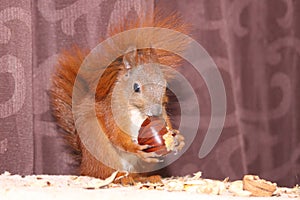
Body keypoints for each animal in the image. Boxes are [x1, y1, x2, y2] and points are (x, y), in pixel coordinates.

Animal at [50, 10, 189, 184]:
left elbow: (167, 122)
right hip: (103, 155)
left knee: (135, 175)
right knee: (106, 173)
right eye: (136, 87)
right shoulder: (111, 110)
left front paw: (178, 139)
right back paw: (121, 179)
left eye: (164, 84)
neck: (137, 110)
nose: (156, 112)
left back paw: (147, 177)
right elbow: (115, 133)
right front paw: (136, 148)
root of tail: (84, 164)